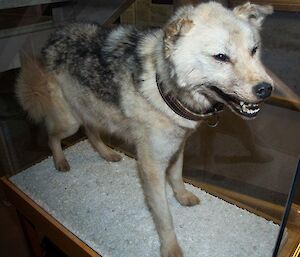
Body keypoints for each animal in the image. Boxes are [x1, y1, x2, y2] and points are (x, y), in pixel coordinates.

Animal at [16, 2, 274, 256]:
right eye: (221, 56)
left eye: (254, 50)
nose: (266, 89)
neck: (163, 84)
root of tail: (54, 35)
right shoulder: (151, 167)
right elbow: (164, 217)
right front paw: (171, 249)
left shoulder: (177, 146)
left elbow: (177, 176)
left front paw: (183, 197)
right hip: (70, 121)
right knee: (52, 136)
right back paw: (60, 161)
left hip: (92, 111)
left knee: (90, 132)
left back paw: (107, 154)